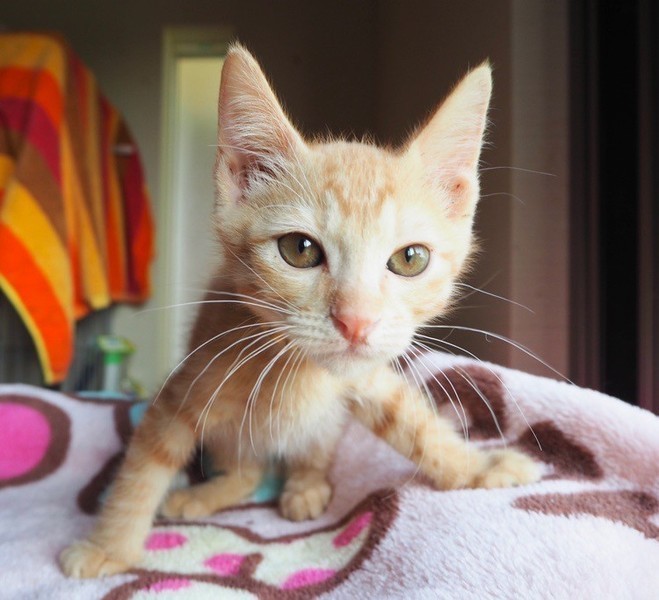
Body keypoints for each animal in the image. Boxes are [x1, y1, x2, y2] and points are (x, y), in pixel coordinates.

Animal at [60, 44, 540, 578]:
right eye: (300, 249)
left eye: (410, 259)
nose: (356, 321)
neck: (298, 370)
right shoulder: (187, 388)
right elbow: (145, 464)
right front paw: (109, 546)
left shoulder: (364, 377)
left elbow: (413, 424)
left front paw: (477, 466)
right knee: (247, 470)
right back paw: (203, 495)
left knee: (310, 448)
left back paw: (306, 485)